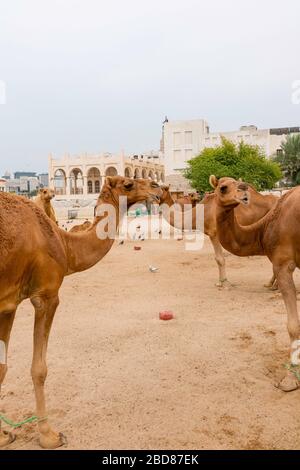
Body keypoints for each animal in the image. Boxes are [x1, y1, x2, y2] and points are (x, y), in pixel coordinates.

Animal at [0, 175, 162, 448]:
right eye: (128, 184)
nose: (158, 188)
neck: (65, 244)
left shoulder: (8, 304)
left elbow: (2, 368)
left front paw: (3, 435)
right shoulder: (46, 295)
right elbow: (39, 368)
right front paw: (49, 435)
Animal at [210, 174, 300, 392]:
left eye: (242, 184)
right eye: (224, 187)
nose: (243, 189)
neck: (265, 227)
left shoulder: (283, 263)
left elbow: (293, 325)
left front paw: (290, 378)